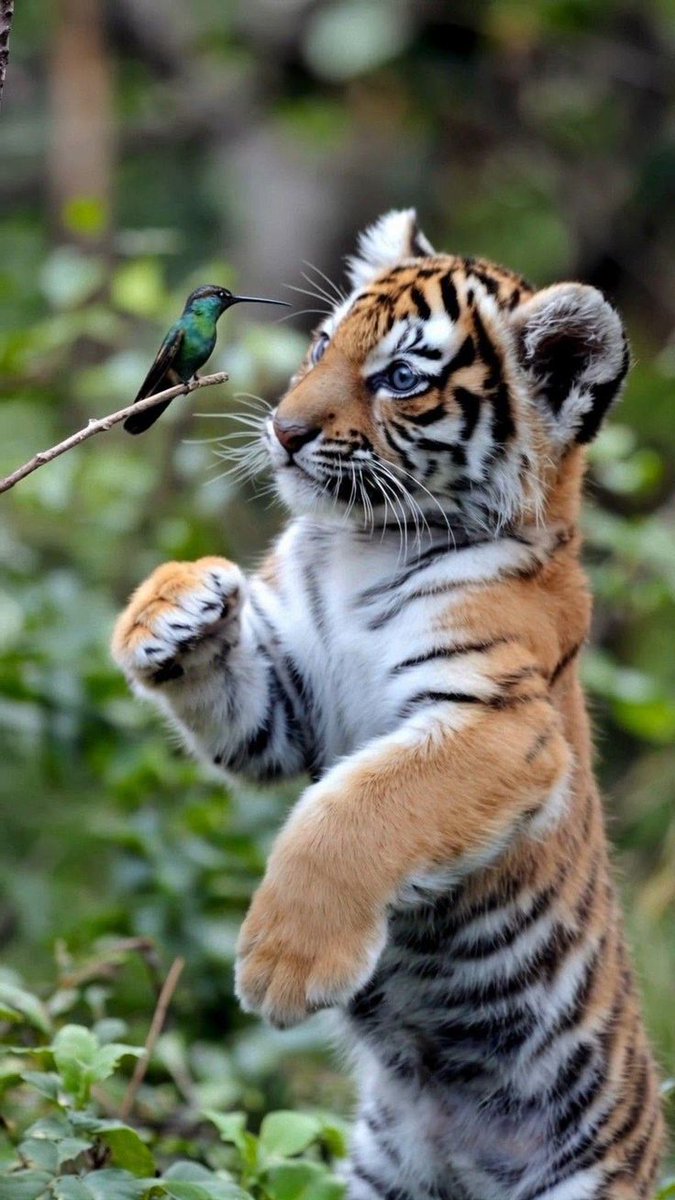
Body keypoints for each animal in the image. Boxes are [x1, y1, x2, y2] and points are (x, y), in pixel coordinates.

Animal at [112, 210, 664, 1200]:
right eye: (322, 345)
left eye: (400, 379)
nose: (284, 429)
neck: (360, 545)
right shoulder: (291, 706)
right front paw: (175, 603)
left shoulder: (497, 723)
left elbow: (357, 811)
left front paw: (283, 964)